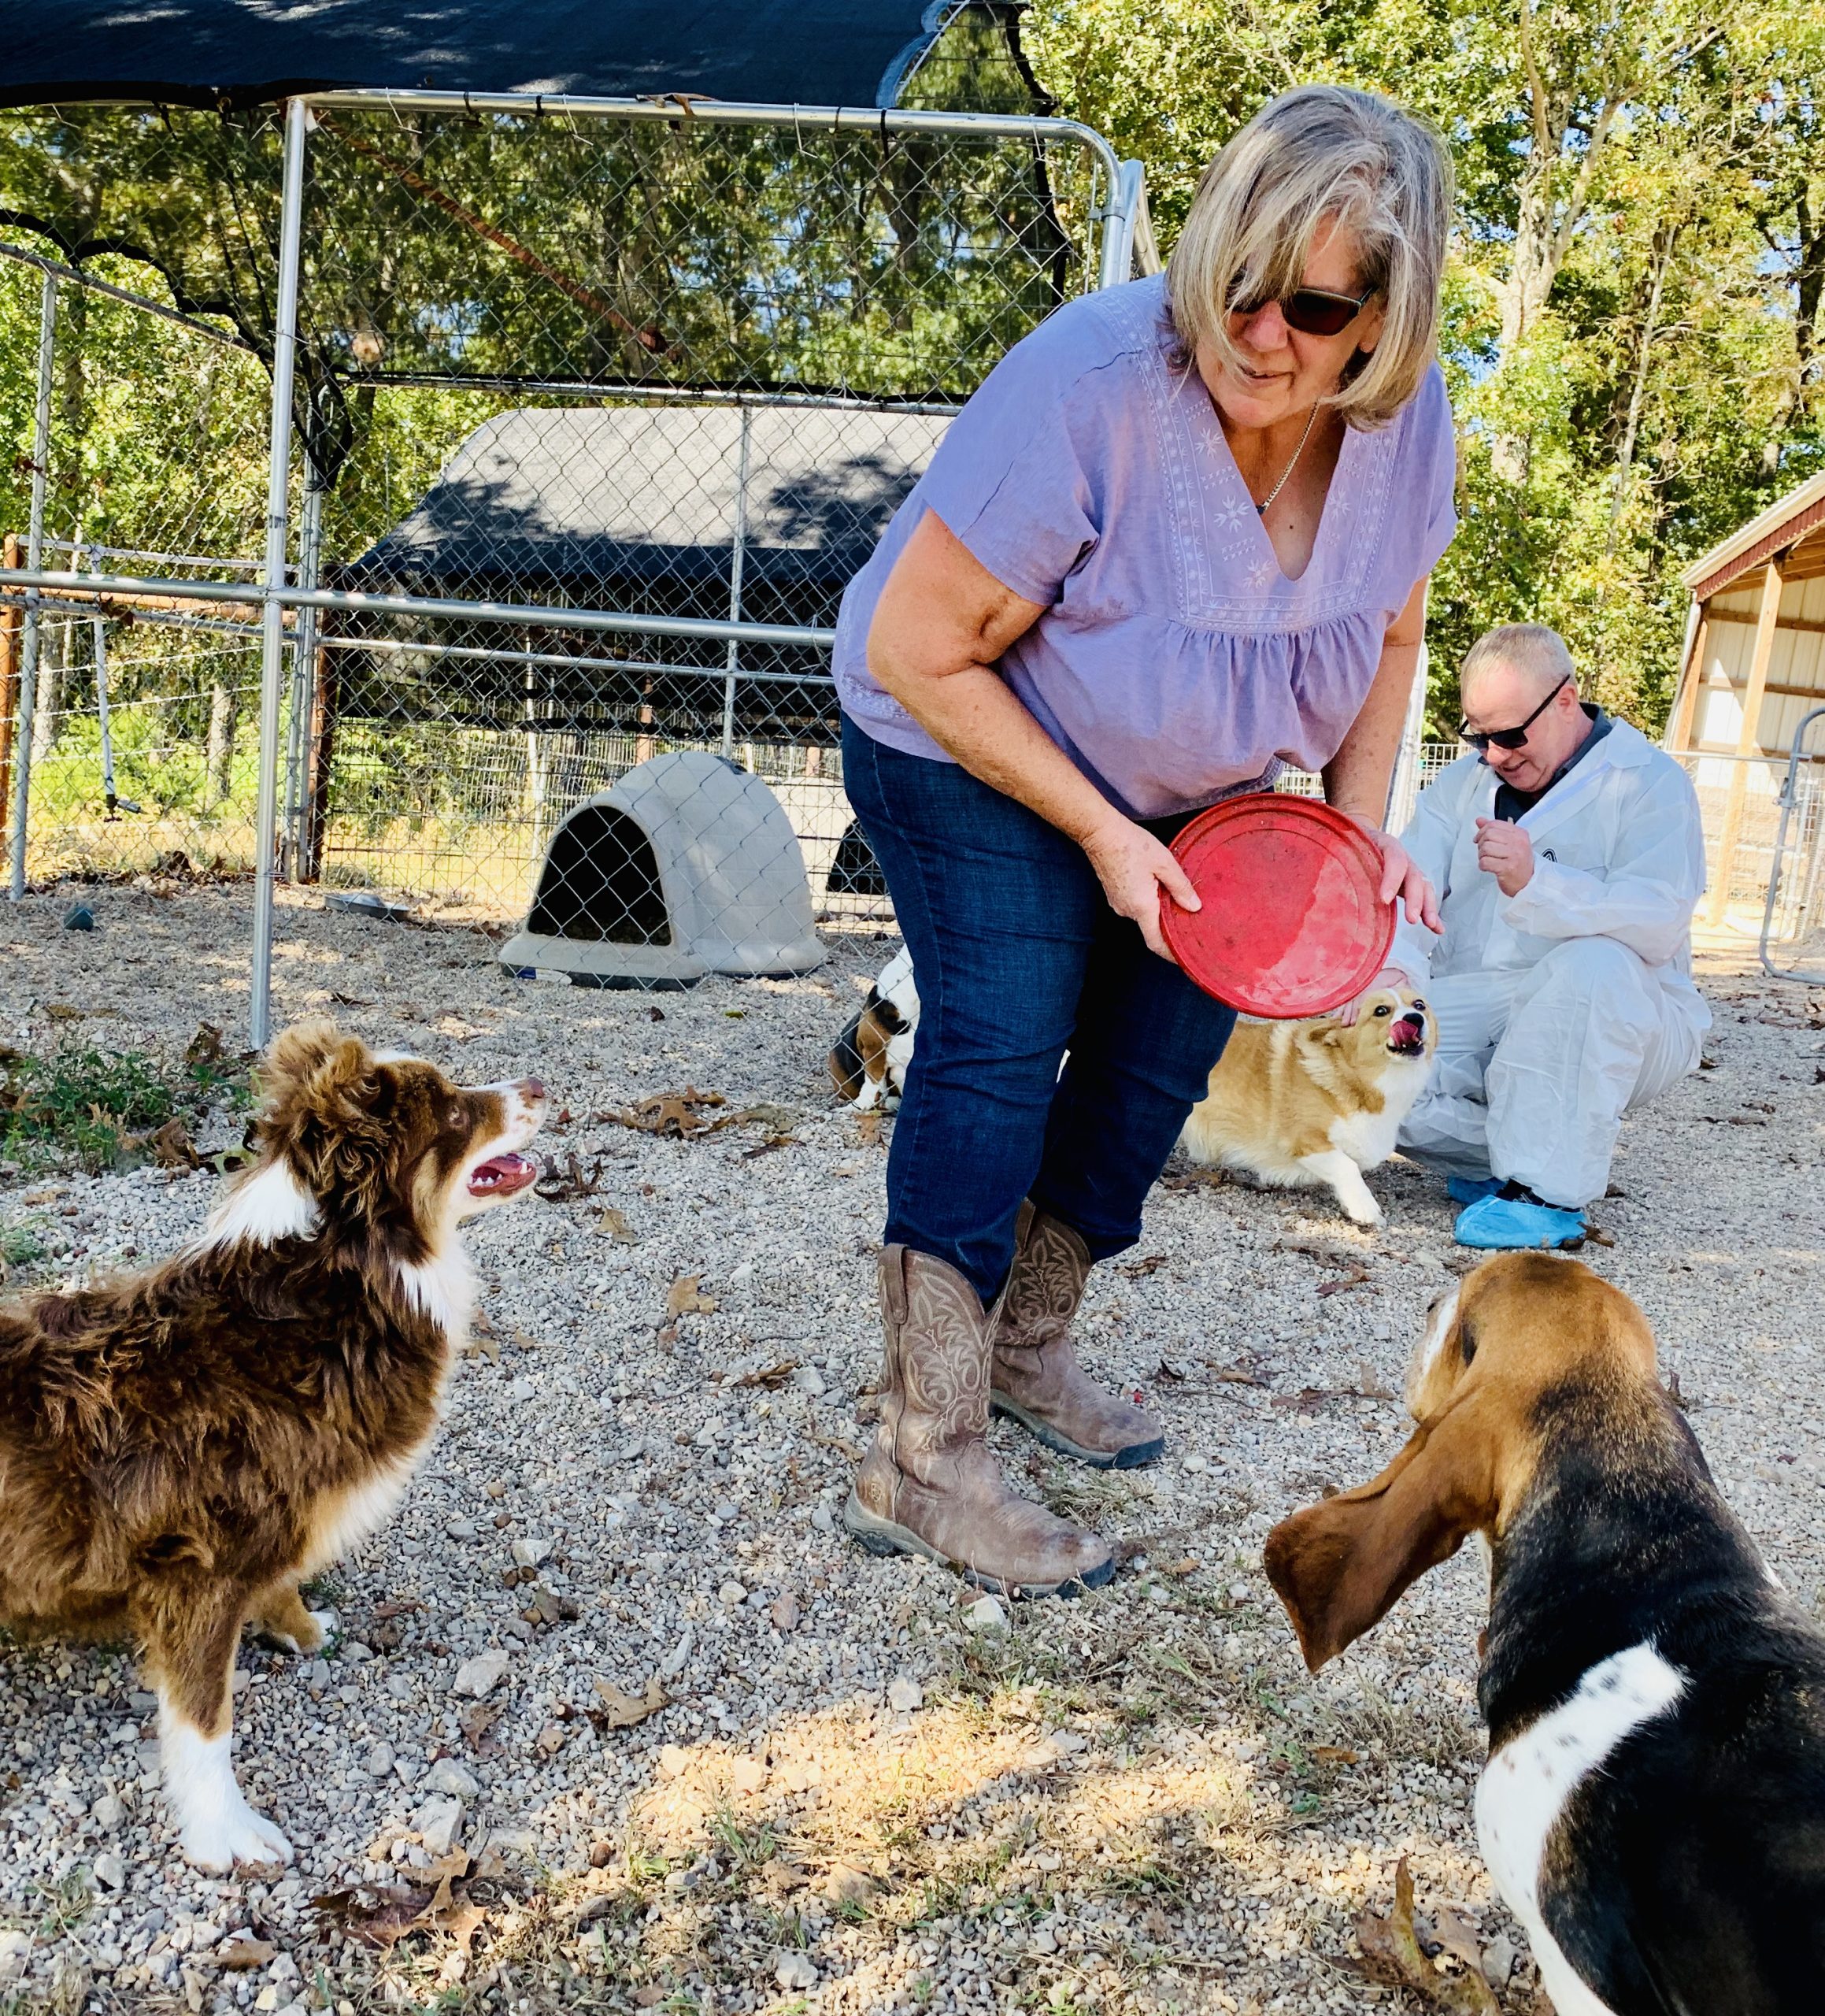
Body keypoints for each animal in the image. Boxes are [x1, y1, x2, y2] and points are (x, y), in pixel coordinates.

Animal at [0, 1024, 544, 1870]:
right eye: (454, 1112)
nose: (542, 1086)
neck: (338, 1284)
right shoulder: (196, 1571)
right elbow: (204, 1723)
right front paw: (225, 1833)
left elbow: (283, 1581)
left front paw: (304, 1629)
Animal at [1186, 980, 1435, 1217]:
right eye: (1381, 1010)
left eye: (1419, 1005)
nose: (1415, 1018)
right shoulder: (1303, 1139)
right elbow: (1347, 1166)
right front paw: (1365, 1208)